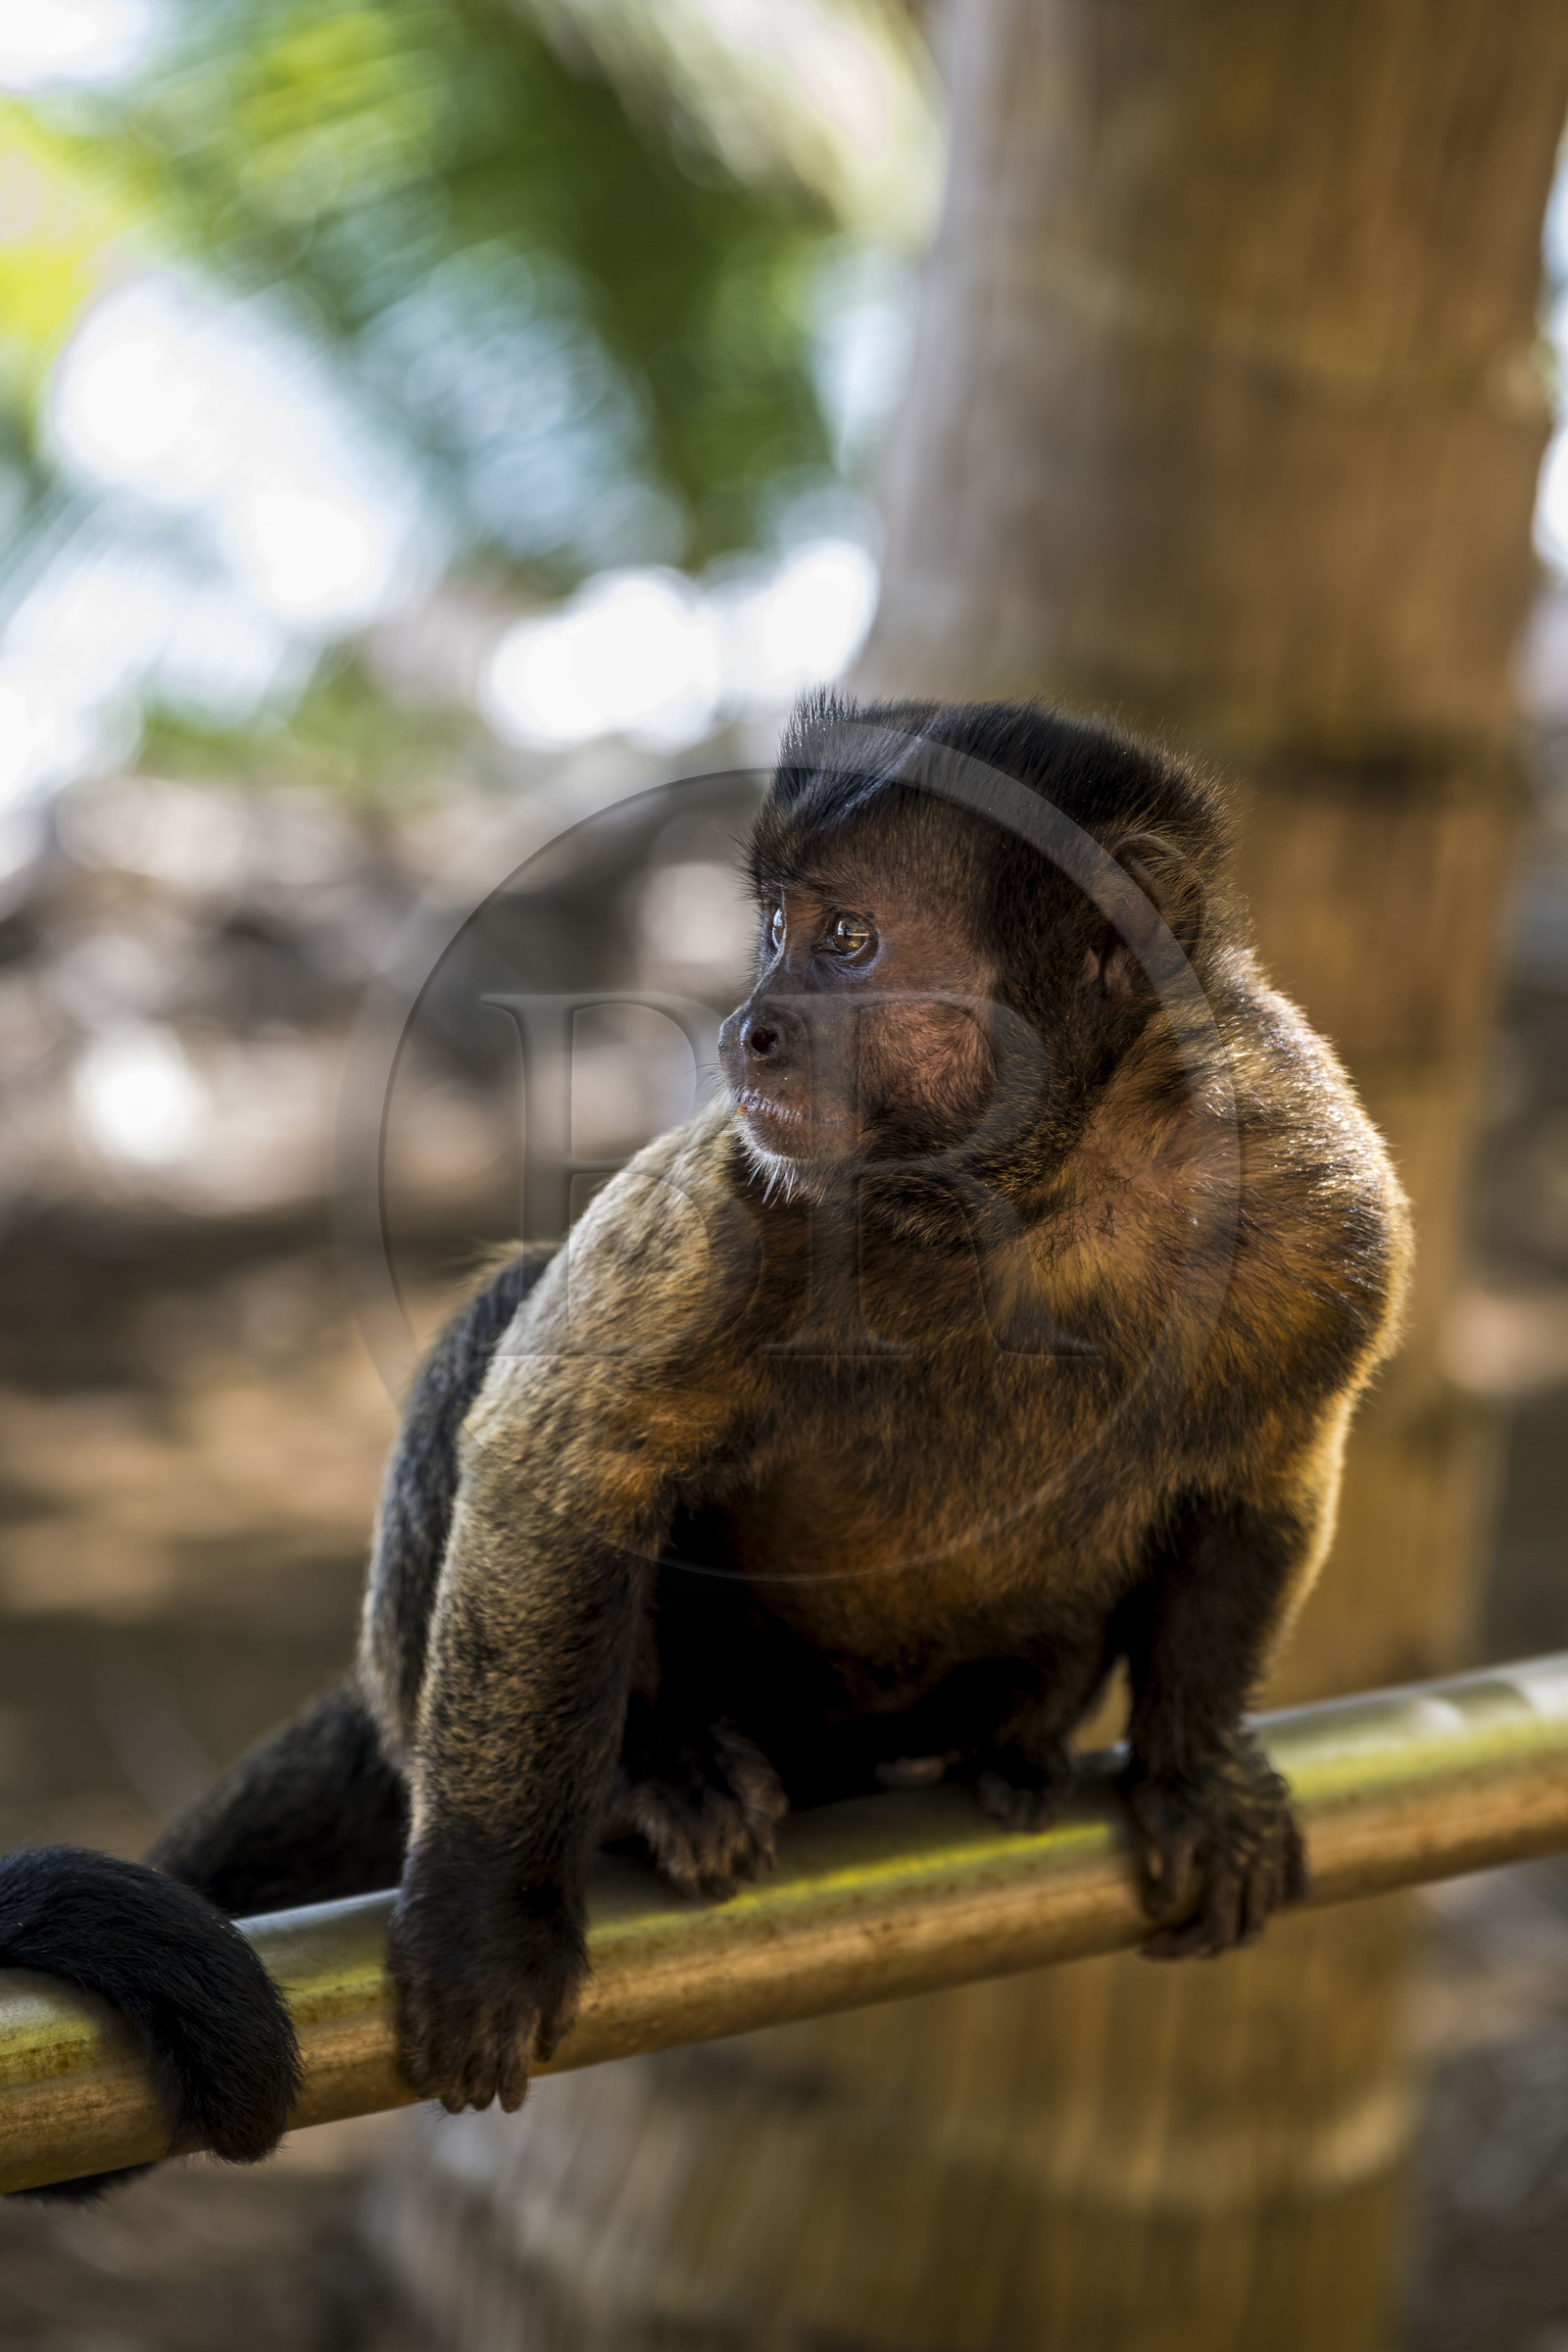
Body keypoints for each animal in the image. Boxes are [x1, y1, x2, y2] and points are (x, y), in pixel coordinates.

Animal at [0, 693, 1410, 2192]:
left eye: (845, 939)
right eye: (775, 928)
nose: (752, 1027)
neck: (1033, 1191)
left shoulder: (1320, 1198)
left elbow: (1267, 1478)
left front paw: (1192, 1774)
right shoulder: (745, 1193)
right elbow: (559, 1468)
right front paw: (491, 1917)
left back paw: (1005, 1746)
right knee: (508, 1330)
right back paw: (652, 1775)